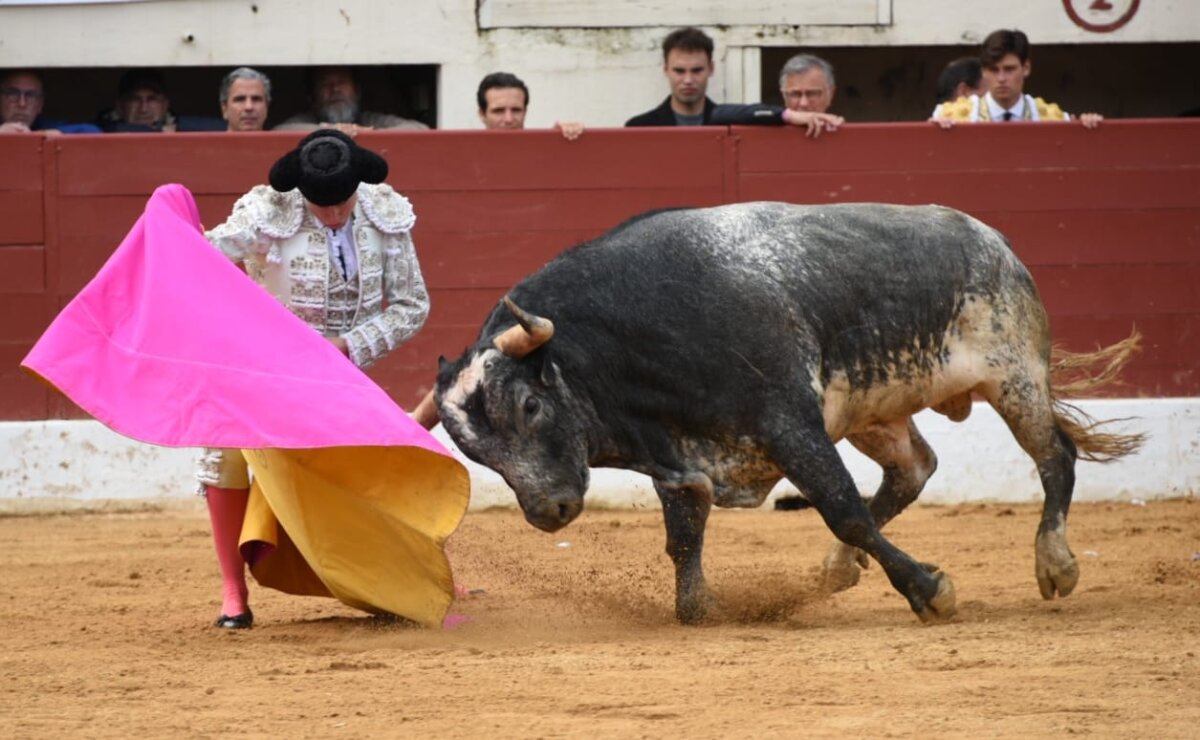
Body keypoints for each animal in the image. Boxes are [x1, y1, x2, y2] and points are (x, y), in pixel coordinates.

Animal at [434, 202, 1143, 625]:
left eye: (530, 404)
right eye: (477, 453)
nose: (548, 512)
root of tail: (992, 238)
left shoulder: (789, 426)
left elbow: (843, 507)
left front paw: (929, 590)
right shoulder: (683, 461)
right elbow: (683, 539)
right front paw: (703, 607)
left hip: (1014, 375)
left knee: (1054, 458)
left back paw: (1055, 564)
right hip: (873, 412)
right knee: (915, 467)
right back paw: (834, 568)